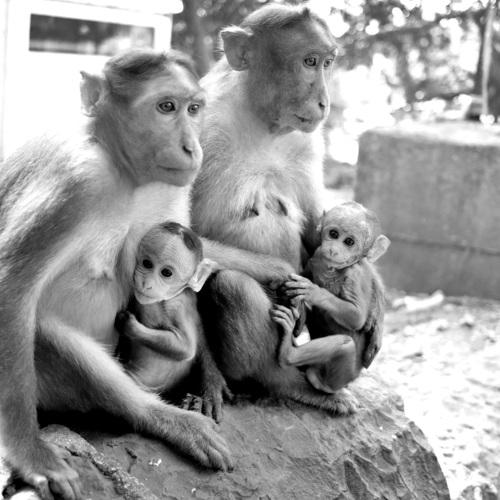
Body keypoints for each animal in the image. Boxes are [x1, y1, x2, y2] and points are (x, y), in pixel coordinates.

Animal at [115, 221, 230, 422]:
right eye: (147, 263)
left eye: (166, 273)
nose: (146, 284)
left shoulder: (178, 306)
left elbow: (185, 348)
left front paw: (129, 325)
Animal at [271, 201, 391, 394]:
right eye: (333, 234)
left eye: (349, 242)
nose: (334, 250)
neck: (332, 270)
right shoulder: (318, 255)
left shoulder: (355, 276)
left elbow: (357, 318)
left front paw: (313, 292)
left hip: (337, 378)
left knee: (345, 344)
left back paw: (288, 353)